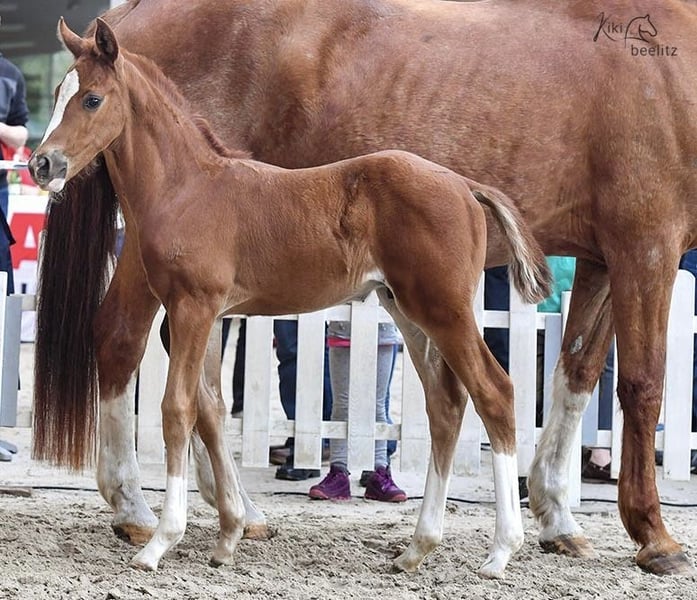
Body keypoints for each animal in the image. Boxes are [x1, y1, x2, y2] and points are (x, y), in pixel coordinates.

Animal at [32, 0, 697, 577]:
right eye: (60, 94)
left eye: (91, 97)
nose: (42, 164)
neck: (193, 182)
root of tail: (464, 186)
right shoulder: (639, 243)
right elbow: (208, 406)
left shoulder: (621, 251)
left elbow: (183, 407)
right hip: (415, 309)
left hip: (433, 310)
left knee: (484, 394)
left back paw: (482, 549)